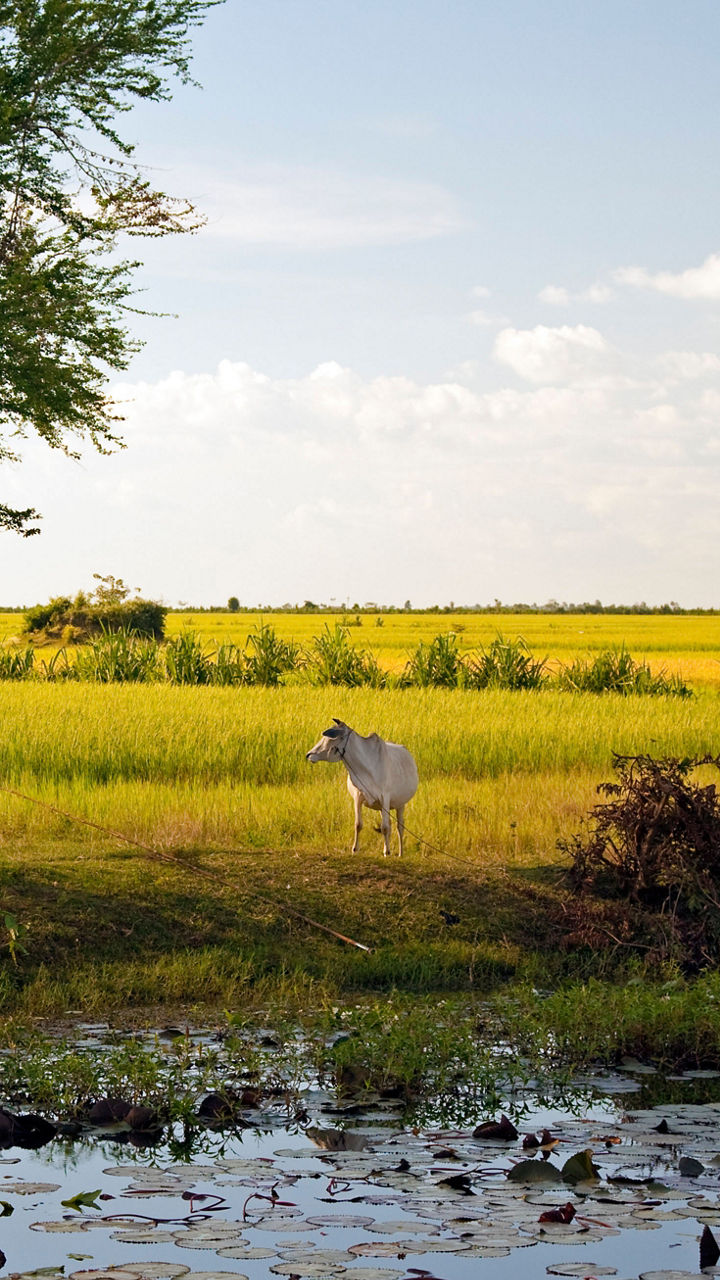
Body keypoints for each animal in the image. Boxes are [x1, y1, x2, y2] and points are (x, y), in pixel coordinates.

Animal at [306, 718, 418, 857]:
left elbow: (385, 828)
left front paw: (387, 853)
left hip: (400, 804)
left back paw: (400, 853)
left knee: (399, 826)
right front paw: (355, 849)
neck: (365, 768)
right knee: (390, 824)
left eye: (329, 738)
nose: (309, 755)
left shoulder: (385, 798)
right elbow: (358, 824)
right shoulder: (358, 797)